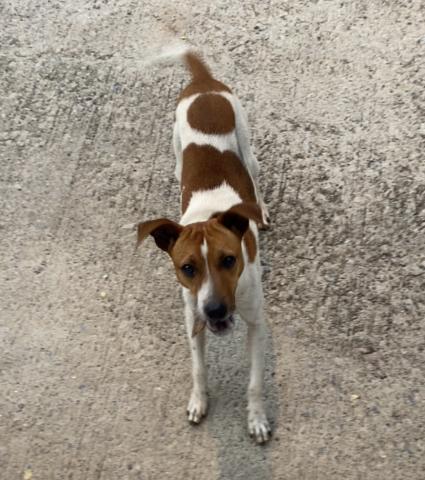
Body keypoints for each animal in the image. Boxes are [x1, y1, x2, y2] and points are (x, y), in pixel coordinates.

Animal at [137, 47, 272, 444]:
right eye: (187, 268)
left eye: (229, 260)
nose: (214, 310)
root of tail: (203, 83)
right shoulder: (192, 320)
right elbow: (198, 368)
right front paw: (198, 401)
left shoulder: (256, 323)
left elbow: (255, 382)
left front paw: (257, 419)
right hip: (177, 151)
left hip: (247, 144)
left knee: (255, 178)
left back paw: (262, 209)